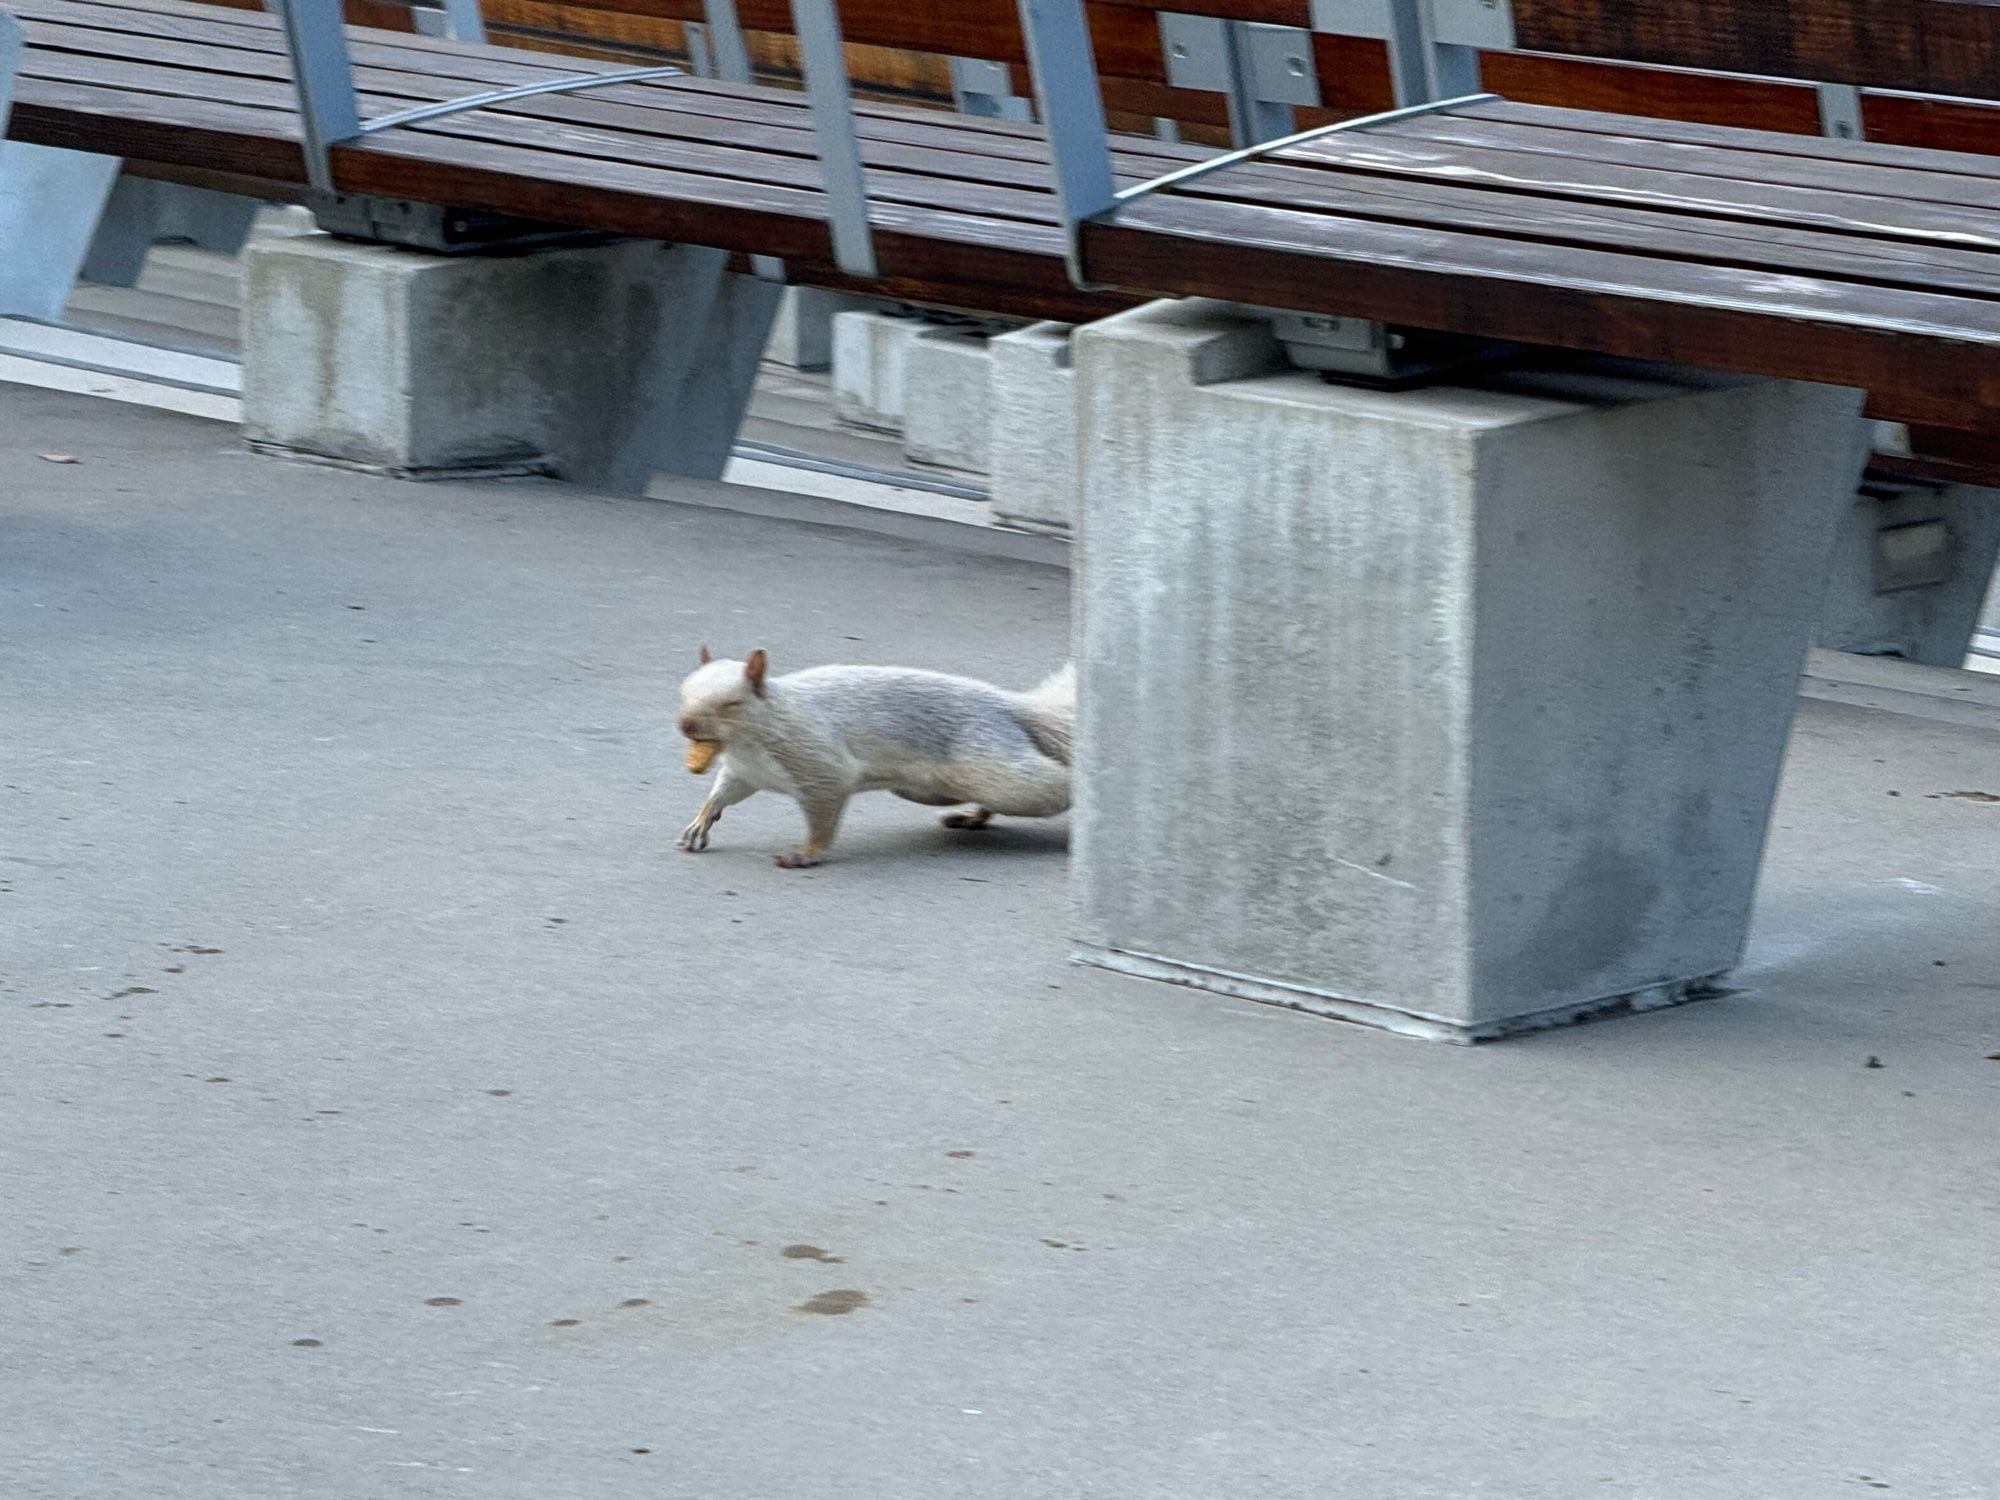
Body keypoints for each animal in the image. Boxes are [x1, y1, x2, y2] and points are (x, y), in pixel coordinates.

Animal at [676, 648, 1080, 868]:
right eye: (682, 691)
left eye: (732, 704)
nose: (684, 725)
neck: (748, 742)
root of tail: (1013, 708)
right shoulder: (745, 771)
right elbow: (724, 793)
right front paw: (700, 823)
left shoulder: (819, 763)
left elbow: (823, 815)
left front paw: (805, 853)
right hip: (930, 788)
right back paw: (970, 815)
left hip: (991, 768)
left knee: (1050, 783)